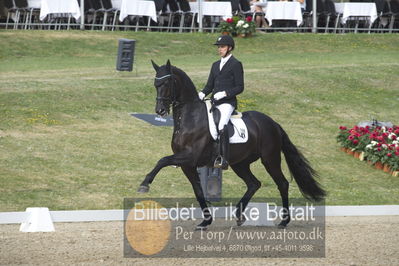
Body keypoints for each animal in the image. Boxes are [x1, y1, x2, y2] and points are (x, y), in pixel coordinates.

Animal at [138, 59, 324, 229]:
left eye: (167, 83)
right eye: (155, 84)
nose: (160, 111)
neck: (190, 118)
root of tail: (273, 123)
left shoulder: (189, 157)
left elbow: (162, 160)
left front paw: (144, 184)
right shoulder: (187, 164)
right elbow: (198, 192)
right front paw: (206, 221)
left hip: (270, 159)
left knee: (282, 184)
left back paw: (283, 221)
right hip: (240, 164)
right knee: (254, 184)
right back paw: (239, 215)